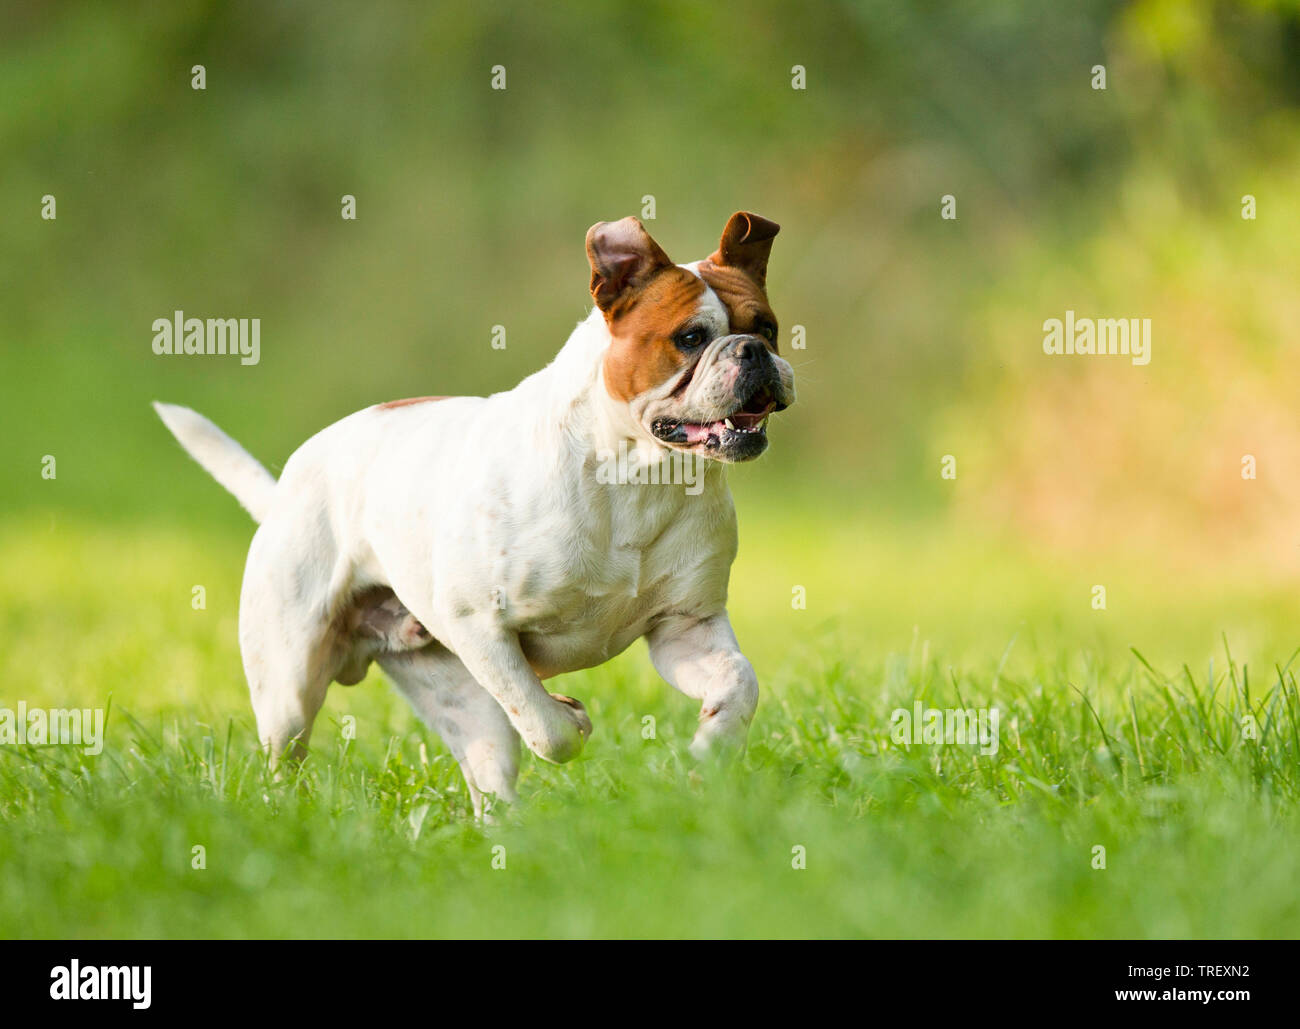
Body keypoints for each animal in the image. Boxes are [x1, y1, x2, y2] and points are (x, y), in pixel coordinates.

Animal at [157, 210, 795, 821]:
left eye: (767, 326)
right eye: (690, 337)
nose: (754, 351)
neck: (639, 477)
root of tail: (281, 495)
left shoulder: (686, 628)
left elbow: (740, 682)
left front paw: (711, 750)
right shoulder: (480, 627)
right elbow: (547, 727)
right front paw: (570, 714)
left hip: (457, 697)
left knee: (488, 777)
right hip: (291, 684)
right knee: (285, 756)